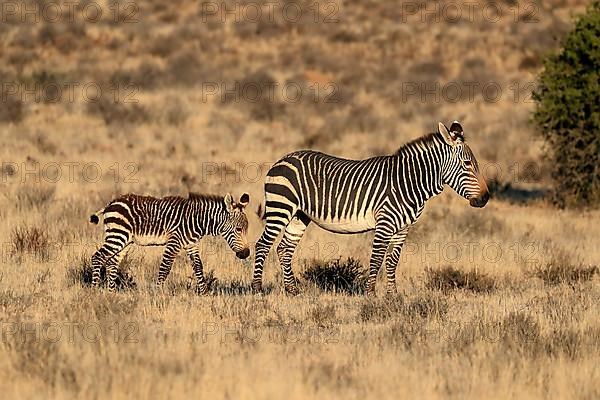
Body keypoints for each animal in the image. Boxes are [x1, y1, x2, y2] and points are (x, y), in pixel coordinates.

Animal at [88, 192, 250, 292]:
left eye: (245, 229)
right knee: (98, 257)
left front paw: (204, 294)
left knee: (112, 262)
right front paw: (158, 293)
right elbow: (165, 268)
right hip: (118, 235)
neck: (197, 221)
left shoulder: (191, 245)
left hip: (124, 240)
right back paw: (95, 290)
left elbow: (198, 267)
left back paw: (111, 293)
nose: (246, 253)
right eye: (238, 229)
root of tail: (110, 204)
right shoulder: (174, 242)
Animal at [251, 120, 490, 296]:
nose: (485, 198)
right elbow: (376, 259)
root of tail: (282, 159)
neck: (408, 182)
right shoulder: (385, 224)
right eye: (467, 164)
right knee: (263, 245)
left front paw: (393, 296)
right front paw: (370, 294)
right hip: (281, 207)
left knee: (284, 249)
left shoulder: (403, 229)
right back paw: (257, 289)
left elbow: (392, 261)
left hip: (299, 215)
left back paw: (292, 290)